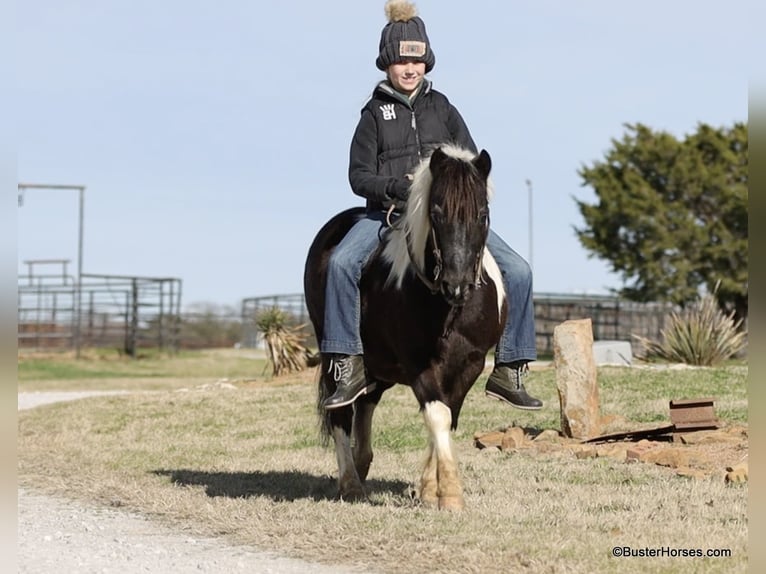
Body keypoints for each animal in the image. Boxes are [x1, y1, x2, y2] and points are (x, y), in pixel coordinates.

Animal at [303, 145, 507, 510]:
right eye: (436, 213)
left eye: (483, 214)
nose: (457, 284)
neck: (446, 308)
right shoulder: (417, 365)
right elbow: (438, 414)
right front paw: (449, 494)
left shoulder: (469, 363)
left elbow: (449, 415)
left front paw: (428, 488)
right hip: (333, 352)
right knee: (341, 411)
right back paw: (350, 484)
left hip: (378, 363)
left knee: (366, 402)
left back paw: (362, 465)